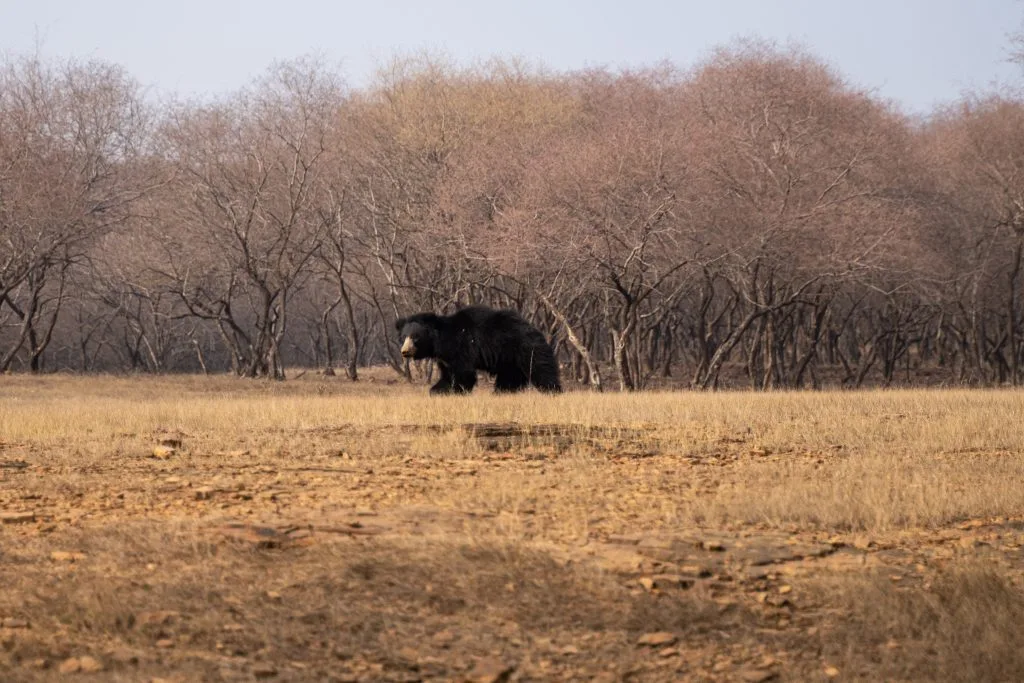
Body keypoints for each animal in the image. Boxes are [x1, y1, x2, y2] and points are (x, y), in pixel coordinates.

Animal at [395, 305, 562, 394]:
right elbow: (448, 374)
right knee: (510, 377)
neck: (438, 343)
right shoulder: (444, 357)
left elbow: (463, 373)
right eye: (403, 337)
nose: (404, 352)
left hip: (525, 349)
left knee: (541, 370)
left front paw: (448, 391)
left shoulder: (460, 347)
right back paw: (501, 392)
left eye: (416, 337)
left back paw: (553, 390)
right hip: (510, 359)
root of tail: (536, 330)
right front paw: (437, 391)